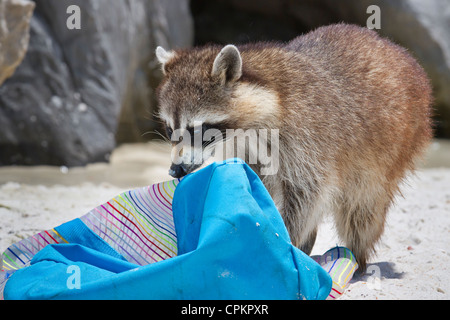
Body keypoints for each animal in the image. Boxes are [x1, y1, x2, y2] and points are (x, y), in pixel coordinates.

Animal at [155, 25, 432, 270]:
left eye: (197, 130)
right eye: (169, 129)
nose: (175, 170)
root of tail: (393, 48)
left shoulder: (307, 134)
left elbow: (308, 191)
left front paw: (284, 239)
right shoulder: (246, 147)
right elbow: (259, 184)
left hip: (396, 144)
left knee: (362, 210)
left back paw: (357, 257)